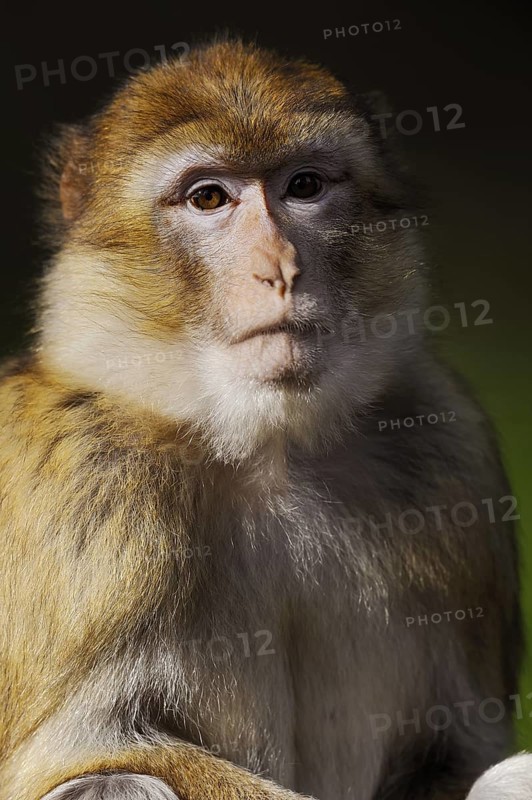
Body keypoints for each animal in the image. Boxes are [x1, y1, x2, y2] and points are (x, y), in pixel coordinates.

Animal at [0, 38, 524, 800]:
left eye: (303, 187)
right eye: (209, 197)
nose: (280, 267)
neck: (266, 447)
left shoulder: (447, 448)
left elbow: (467, 752)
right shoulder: (87, 494)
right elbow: (78, 752)